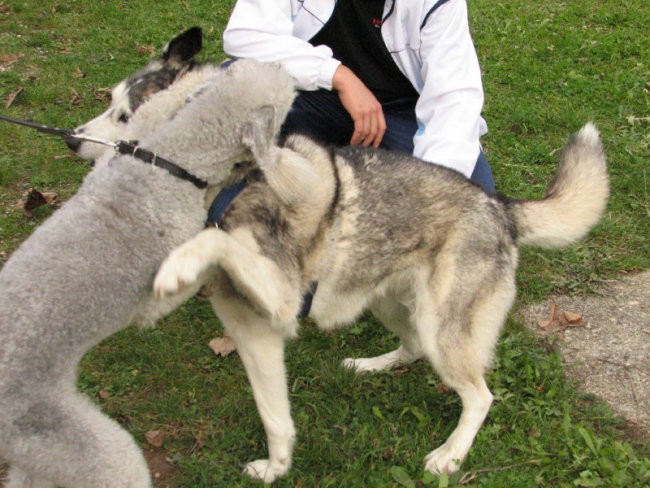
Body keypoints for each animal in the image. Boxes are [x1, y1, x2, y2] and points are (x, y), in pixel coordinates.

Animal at [0, 61, 294, 488]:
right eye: (285, 88)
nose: (283, 62)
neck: (172, 164)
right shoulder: (154, 301)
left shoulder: (108, 168)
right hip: (82, 445)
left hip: (39, 451)